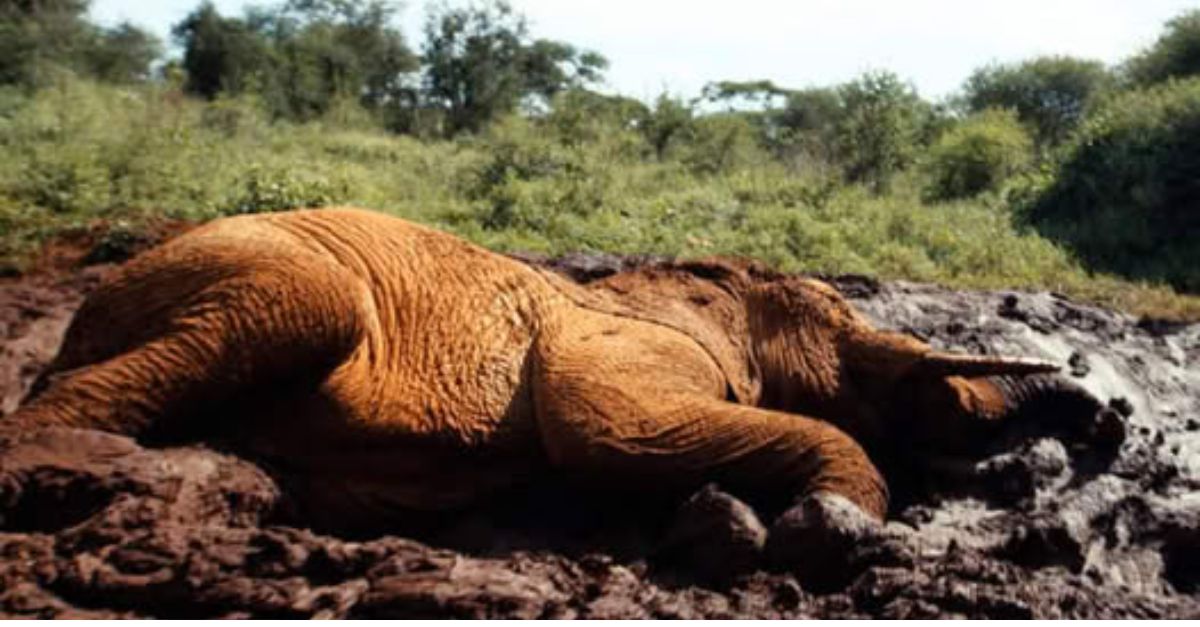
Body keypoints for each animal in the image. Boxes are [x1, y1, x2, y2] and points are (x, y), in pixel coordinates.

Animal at [4, 205, 1104, 530]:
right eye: (849, 343)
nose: (1100, 411)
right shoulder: (626, 349)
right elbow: (605, 434)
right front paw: (828, 525)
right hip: (262, 274)